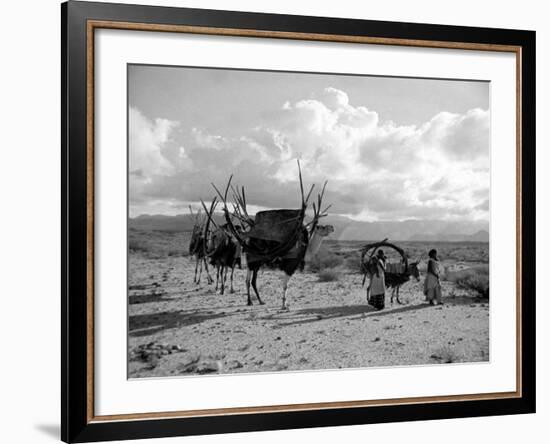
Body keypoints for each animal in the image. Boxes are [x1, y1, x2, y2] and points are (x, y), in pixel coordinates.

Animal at [213, 161, 334, 310]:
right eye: (321, 227)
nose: (332, 227)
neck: (306, 248)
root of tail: (247, 240)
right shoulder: (290, 266)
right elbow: (285, 285)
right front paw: (284, 305)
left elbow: (285, 285)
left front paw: (284, 303)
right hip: (254, 262)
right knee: (250, 280)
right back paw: (254, 301)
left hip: (253, 263)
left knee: (249, 280)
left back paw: (255, 301)